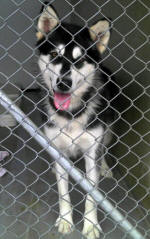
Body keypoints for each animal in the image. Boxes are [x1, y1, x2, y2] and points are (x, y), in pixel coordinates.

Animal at [36, 3, 117, 239]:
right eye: (55, 54)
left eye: (80, 60)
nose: (64, 83)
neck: (71, 114)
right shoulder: (57, 146)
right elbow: (63, 193)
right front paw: (65, 220)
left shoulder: (92, 150)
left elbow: (92, 195)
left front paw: (90, 225)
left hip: (108, 130)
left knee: (104, 149)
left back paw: (105, 166)